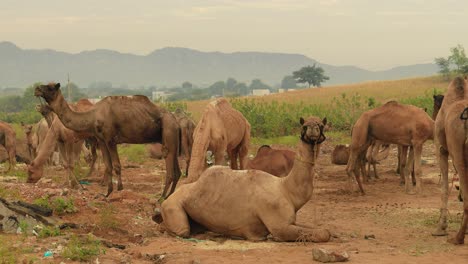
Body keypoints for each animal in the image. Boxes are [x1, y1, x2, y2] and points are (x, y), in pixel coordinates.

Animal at [34, 82, 181, 198]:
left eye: (50, 87)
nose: (36, 89)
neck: (92, 116)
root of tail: (176, 121)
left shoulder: (111, 139)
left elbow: (116, 165)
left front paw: (119, 188)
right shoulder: (101, 140)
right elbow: (108, 165)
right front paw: (107, 193)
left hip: (168, 131)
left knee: (170, 171)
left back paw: (161, 198)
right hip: (172, 139)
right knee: (177, 172)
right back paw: (169, 196)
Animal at [154, 115, 330, 241]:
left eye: (321, 125)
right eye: (304, 125)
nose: (313, 128)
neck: (286, 189)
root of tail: (167, 199)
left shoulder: (290, 221)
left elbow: (323, 230)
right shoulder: (280, 226)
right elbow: (323, 234)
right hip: (172, 206)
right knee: (181, 230)